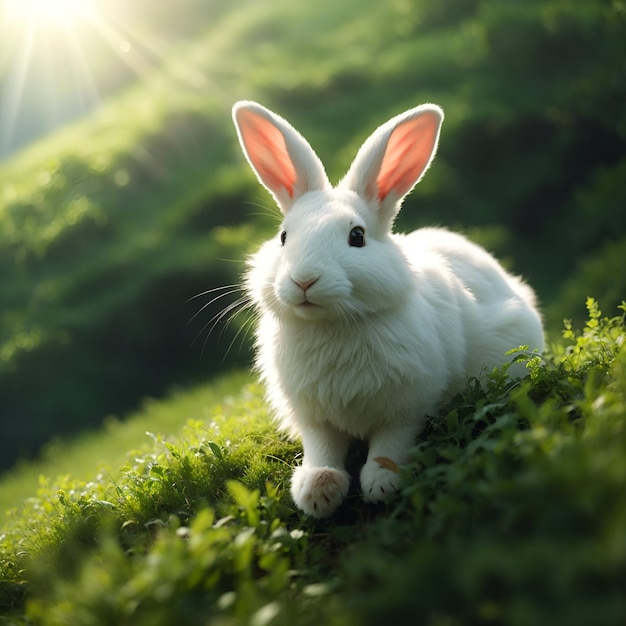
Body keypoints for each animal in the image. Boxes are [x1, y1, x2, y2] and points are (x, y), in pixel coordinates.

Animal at [232, 100, 544, 516]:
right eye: (284, 236)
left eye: (357, 236)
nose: (303, 280)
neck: (334, 325)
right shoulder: (315, 417)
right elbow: (322, 450)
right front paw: (317, 490)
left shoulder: (407, 406)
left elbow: (390, 444)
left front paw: (382, 484)